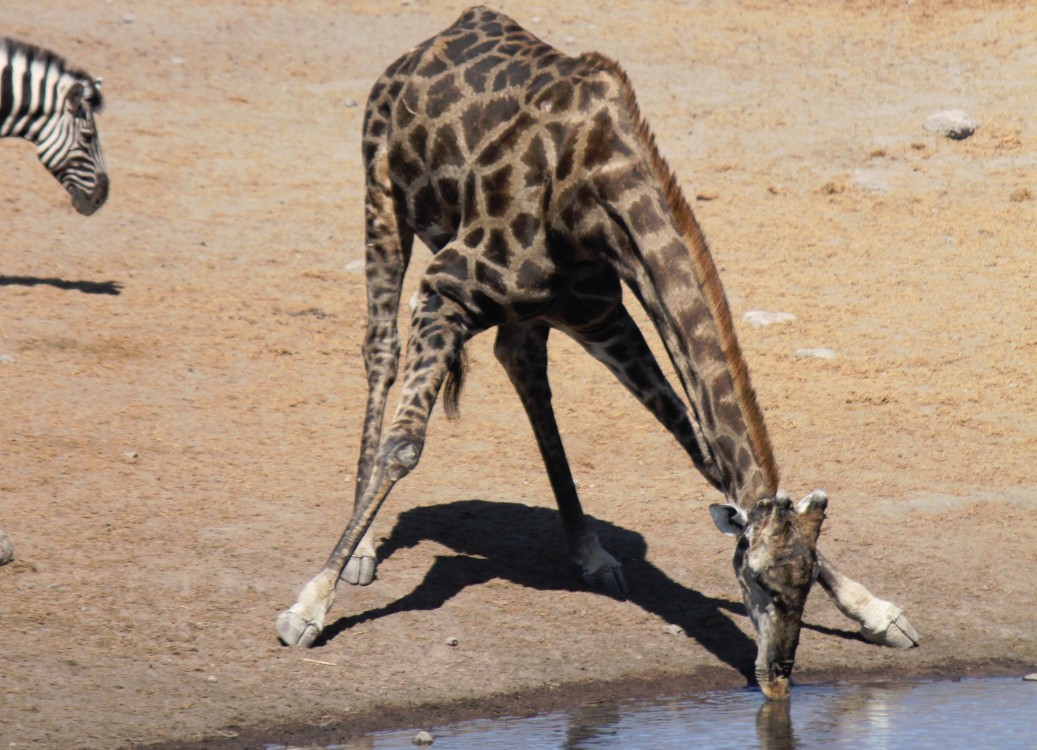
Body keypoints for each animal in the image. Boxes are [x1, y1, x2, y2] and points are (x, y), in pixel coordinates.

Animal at [275, 4, 916, 697]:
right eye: (758, 581)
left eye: (801, 584)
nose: (777, 679)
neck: (591, 192)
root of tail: (429, 42)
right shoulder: (447, 288)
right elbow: (404, 447)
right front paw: (307, 608)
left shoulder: (603, 315)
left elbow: (703, 450)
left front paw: (876, 610)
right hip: (381, 190)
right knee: (381, 349)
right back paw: (363, 550)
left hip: (532, 310)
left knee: (521, 366)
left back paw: (590, 551)